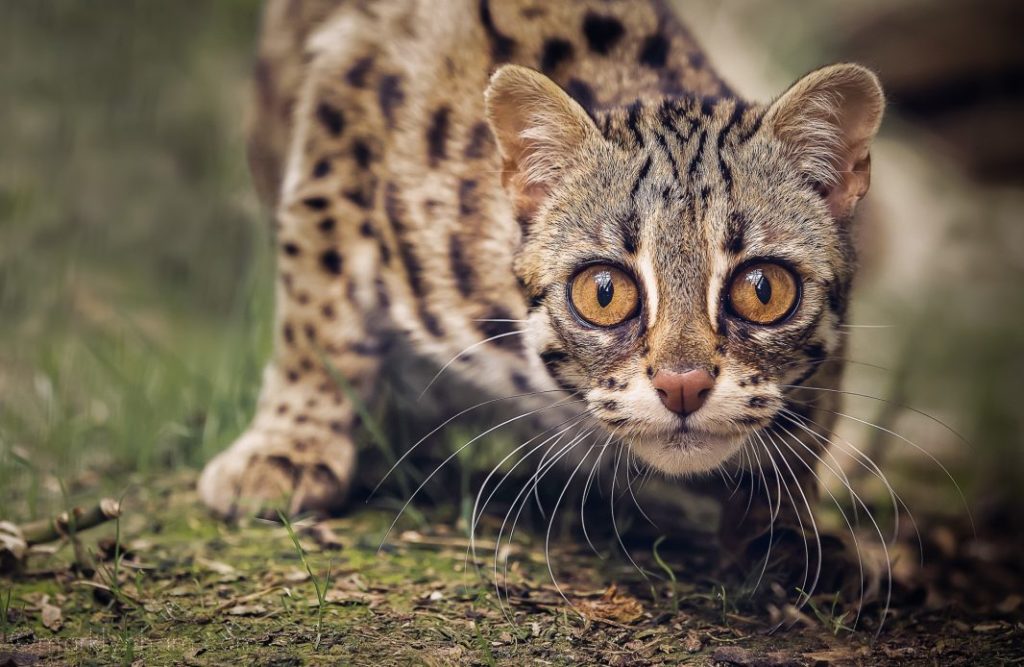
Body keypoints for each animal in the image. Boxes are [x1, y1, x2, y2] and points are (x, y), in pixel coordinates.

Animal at [197, 0, 880, 569]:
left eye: (763, 290)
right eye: (604, 292)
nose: (681, 386)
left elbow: (815, 411)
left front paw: (784, 522)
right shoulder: (349, 94)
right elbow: (321, 307)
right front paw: (286, 448)